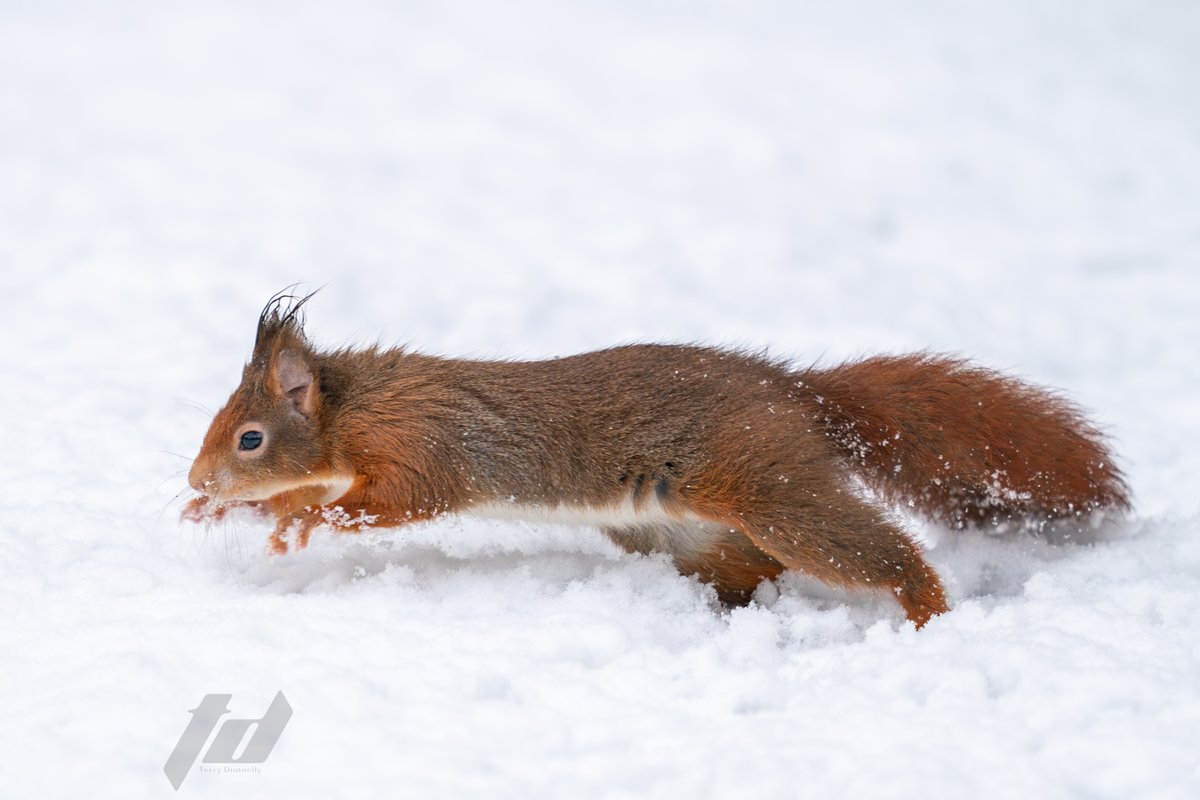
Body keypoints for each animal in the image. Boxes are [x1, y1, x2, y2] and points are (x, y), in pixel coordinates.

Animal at [183, 290, 1130, 628]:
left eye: (249, 438)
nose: (195, 479)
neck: (358, 409)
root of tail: (798, 394)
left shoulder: (427, 443)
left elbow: (393, 500)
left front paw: (306, 520)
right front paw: (230, 512)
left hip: (767, 484)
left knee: (875, 551)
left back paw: (929, 613)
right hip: (681, 534)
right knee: (750, 570)